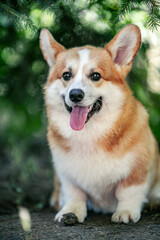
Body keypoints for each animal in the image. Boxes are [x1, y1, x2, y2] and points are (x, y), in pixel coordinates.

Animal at [40, 25, 160, 224]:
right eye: (66, 75)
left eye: (96, 75)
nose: (75, 94)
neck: (89, 134)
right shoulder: (67, 176)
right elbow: (75, 194)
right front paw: (70, 212)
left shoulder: (136, 172)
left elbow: (128, 192)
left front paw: (126, 211)